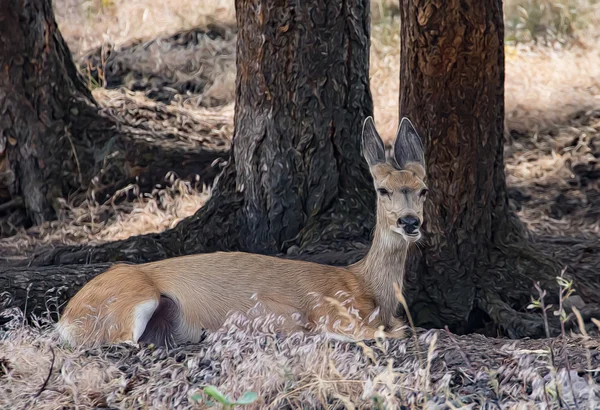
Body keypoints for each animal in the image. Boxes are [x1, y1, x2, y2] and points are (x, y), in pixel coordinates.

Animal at [57, 117, 426, 348]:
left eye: (423, 189)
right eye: (381, 189)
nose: (410, 222)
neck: (366, 287)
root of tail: (65, 316)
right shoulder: (330, 311)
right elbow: (389, 333)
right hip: (132, 299)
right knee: (118, 341)